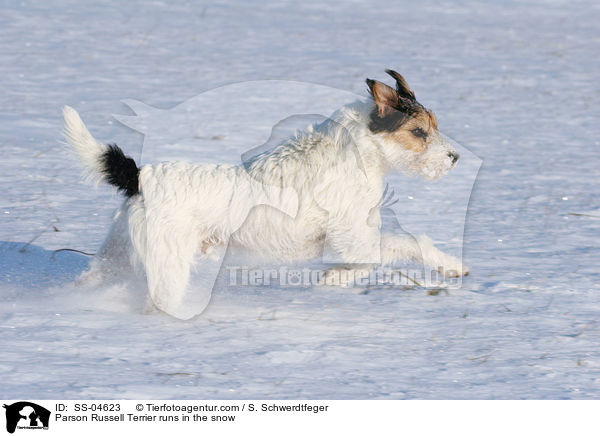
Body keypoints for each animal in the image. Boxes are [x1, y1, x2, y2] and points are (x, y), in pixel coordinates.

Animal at [65, 70, 468, 316]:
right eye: (419, 132)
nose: (455, 157)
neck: (356, 152)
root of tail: (140, 176)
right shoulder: (356, 238)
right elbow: (405, 245)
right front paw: (448, 264)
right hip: (169, 265)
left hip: (116, 256)